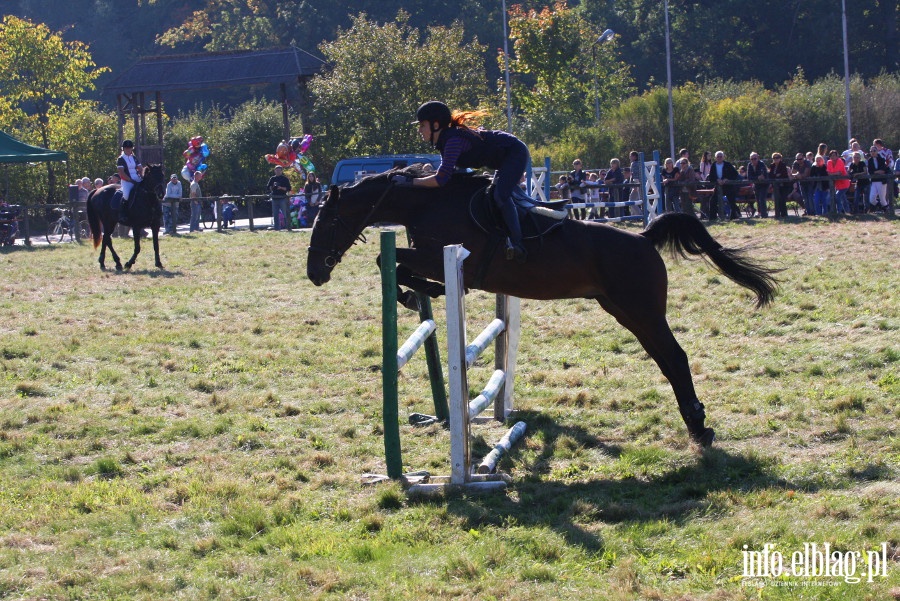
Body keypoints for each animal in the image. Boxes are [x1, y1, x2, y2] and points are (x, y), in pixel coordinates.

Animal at [306, 164, 776, 446]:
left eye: (327, 221)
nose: (314, 274)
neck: (429, 202)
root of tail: (643, 239)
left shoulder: (450, 258)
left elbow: (392, 260)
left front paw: (416, 292)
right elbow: (395, 261)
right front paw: (419, 292)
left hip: (642, 310)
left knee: (675, 357)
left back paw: (699, 425)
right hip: (626, 312)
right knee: (666, 359)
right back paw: (695, 424)